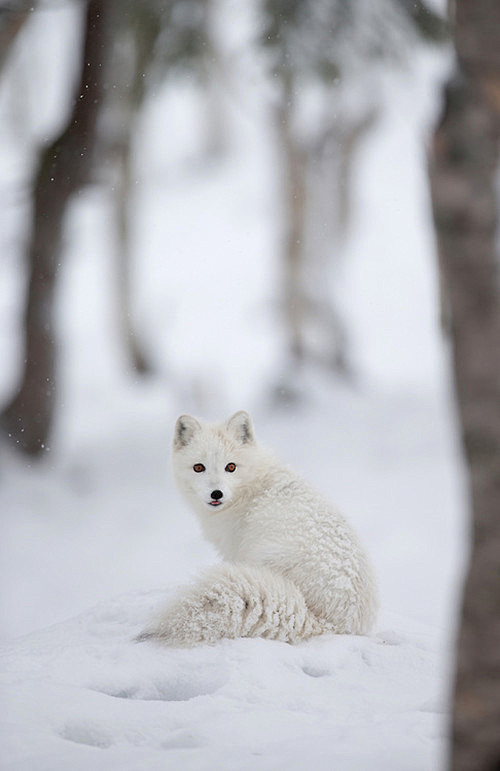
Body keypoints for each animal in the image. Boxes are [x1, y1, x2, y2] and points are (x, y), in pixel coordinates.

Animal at [139, 414, 376, 648]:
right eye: (199, 467)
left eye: (231, 467)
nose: (216, 494)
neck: (251, 486)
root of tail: (332, 624)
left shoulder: (234, 550)